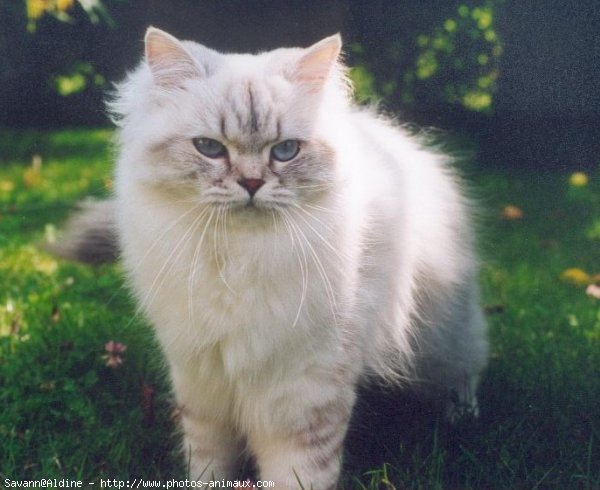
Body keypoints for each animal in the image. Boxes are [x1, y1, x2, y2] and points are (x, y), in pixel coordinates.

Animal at [55, 27, 488, 490]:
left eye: (285, 151)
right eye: (209, 148)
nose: (250, 183)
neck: (242, 257)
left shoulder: (305, 389)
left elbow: (300, 472)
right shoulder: (200, 381)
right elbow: (208, 463)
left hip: (442, 335)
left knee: (466, 364)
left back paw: (463, 417)